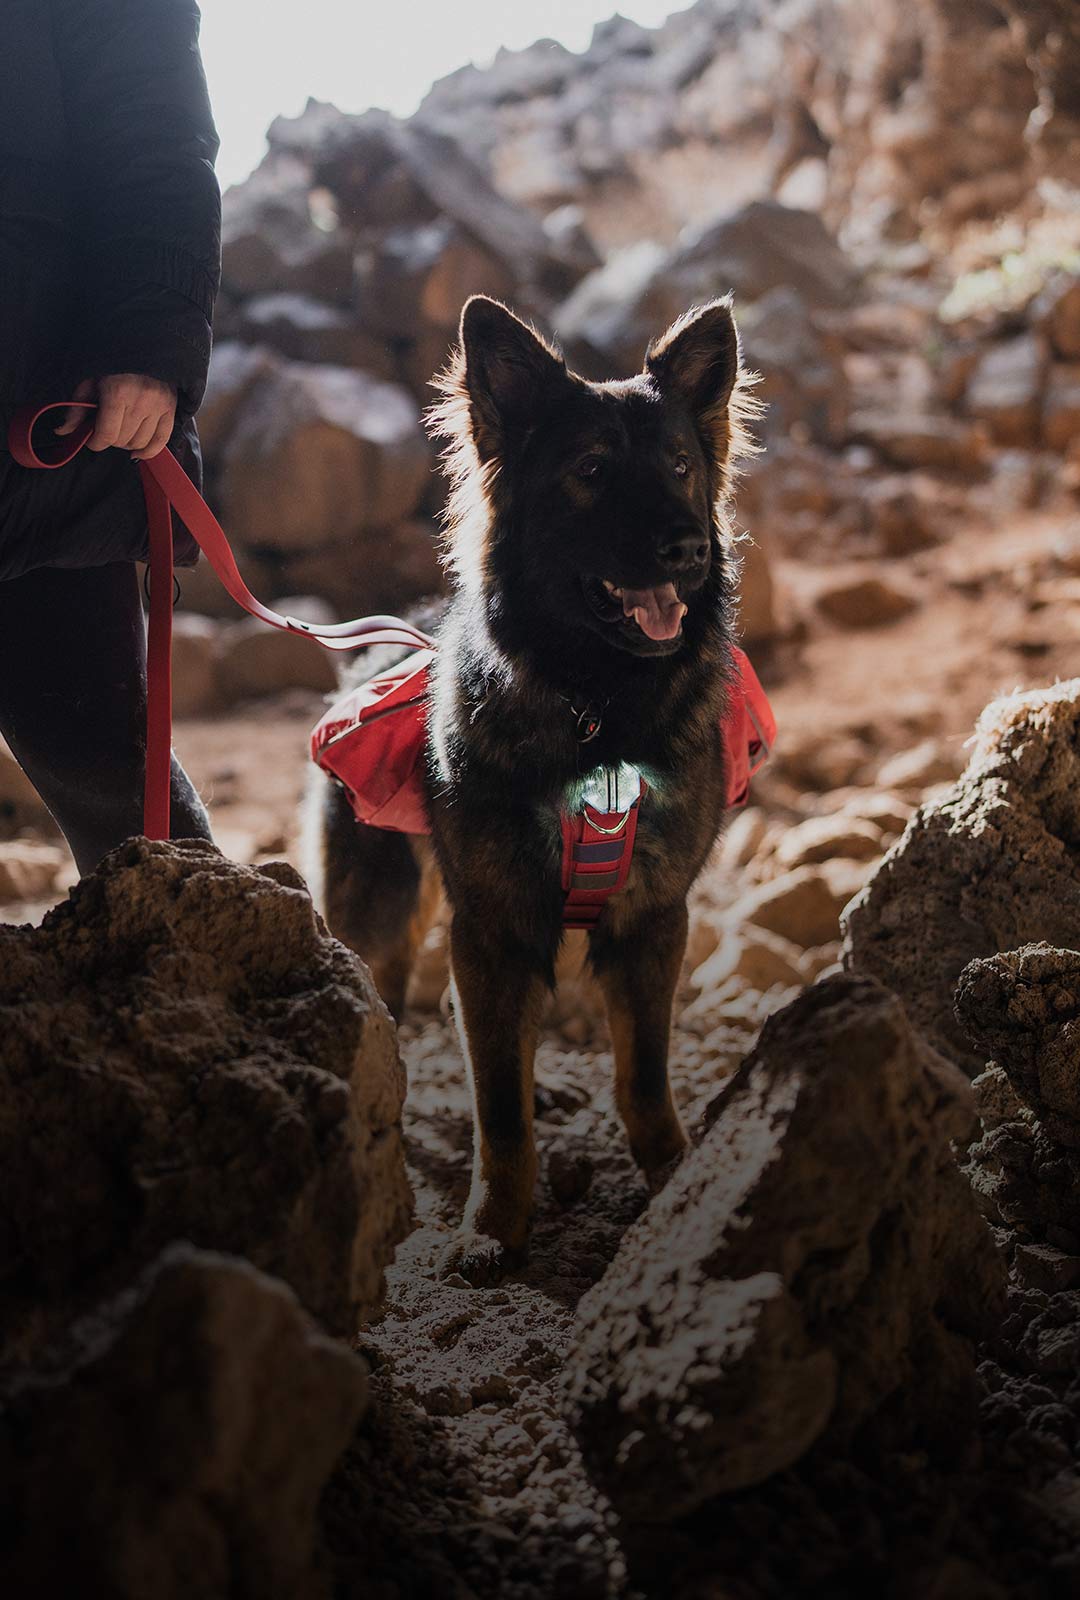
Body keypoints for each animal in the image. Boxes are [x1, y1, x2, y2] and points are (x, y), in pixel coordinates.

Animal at [304, 291, 761, 1286]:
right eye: (591, 470)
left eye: (680, 465)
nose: (688, 548)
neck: (601, 711)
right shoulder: (496, 924)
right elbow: (500, 1114)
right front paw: (494, 1229)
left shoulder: (651, 919)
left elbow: (645, 1077)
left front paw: (674, 1181)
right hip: (377, 912)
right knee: (388, 1008)